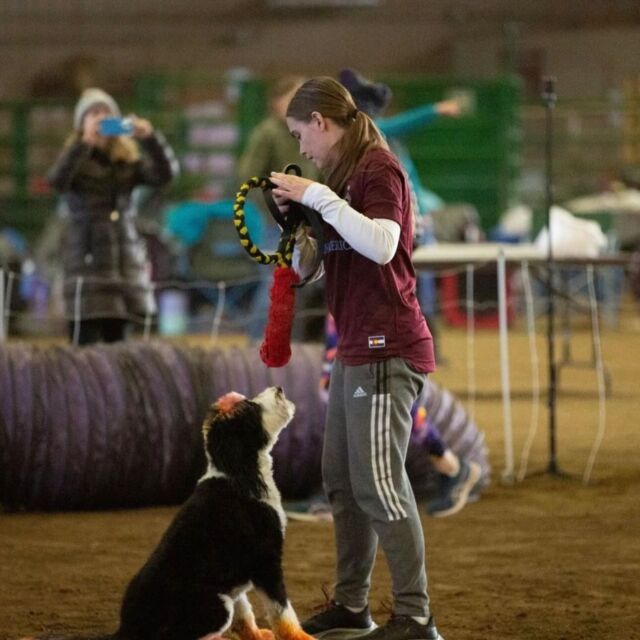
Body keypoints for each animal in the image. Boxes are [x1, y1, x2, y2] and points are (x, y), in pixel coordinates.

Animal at [24, 384, 316, 640]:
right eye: (252, 408)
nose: (279, 388)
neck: (239, 472)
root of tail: (128, 629)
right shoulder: (266, 561)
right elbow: (282, 611)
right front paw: (301, 637)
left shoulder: (237, 578)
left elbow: (245, 612)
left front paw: (256, 635)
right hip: (215, 604)